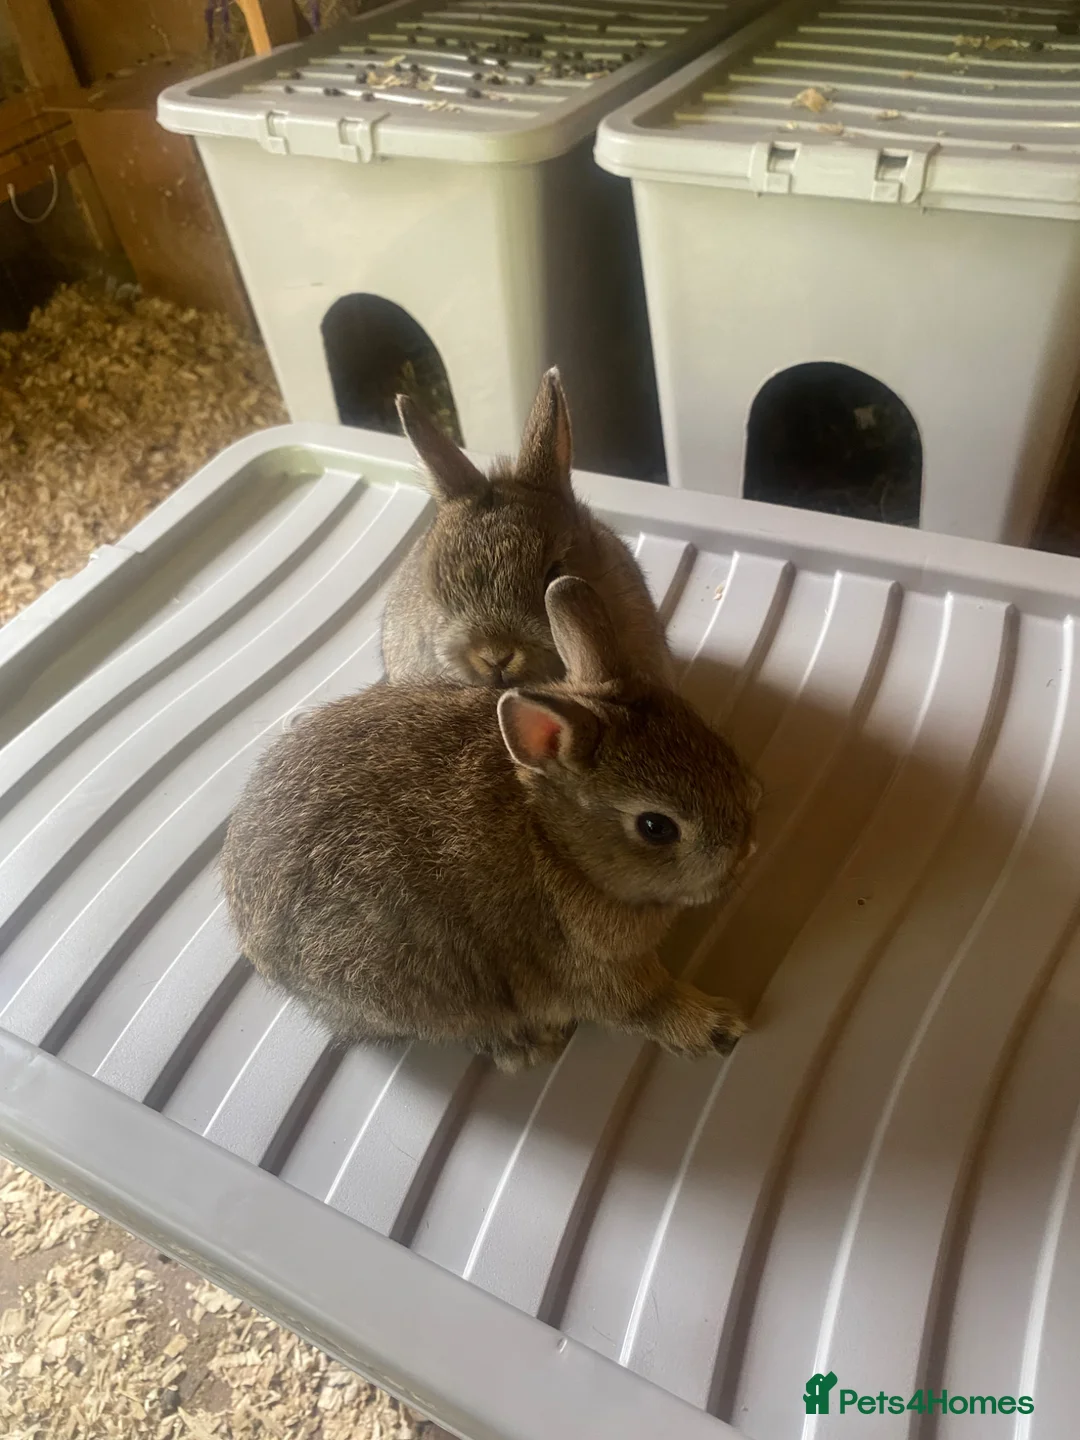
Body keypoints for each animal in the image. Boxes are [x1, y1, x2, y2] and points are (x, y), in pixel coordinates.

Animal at [220, 576, 759, 1073]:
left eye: (714, 743)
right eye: (655, 827)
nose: (744, 852)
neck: (553, 839)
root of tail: (254, 944)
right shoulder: (583, 963)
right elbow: (643, 1004)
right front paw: (717, 1028)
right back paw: (526, 1046)